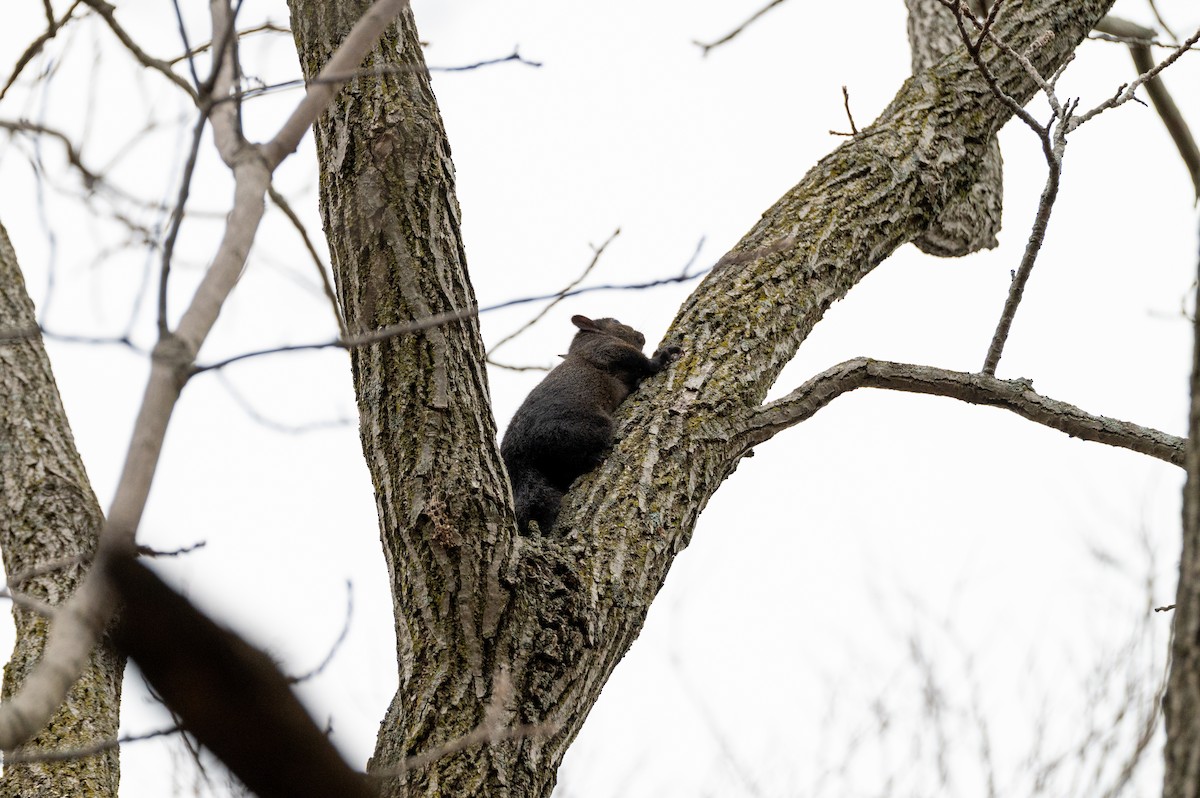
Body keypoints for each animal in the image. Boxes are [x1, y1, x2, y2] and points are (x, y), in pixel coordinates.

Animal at [501, 315, 682, 532]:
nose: (641, 335)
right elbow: (639, 360)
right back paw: (591, 459)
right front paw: (660, 358)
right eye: (615, 321)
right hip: (581, 429)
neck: (581, 344)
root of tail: (518, 457)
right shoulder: (604, 348)